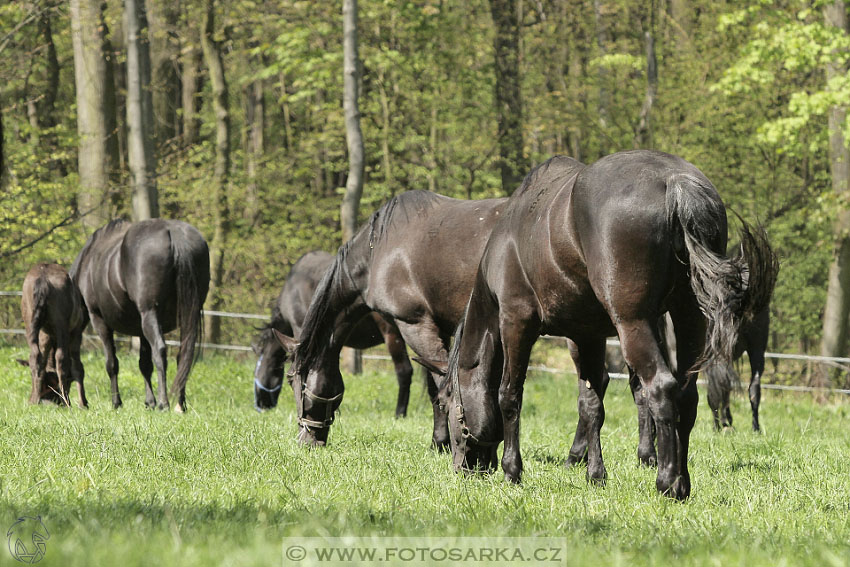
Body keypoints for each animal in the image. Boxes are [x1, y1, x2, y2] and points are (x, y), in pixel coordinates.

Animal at [70, 219, 209, 412]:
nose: (82, 403)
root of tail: (174, 232)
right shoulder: (141, 330)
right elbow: (144, 365)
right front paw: (149, 402)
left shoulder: (99, 320)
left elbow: (111, 364)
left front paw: (117, 402)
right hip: (186, 316)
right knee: (183, 355)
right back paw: (179, 405)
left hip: (149, 314)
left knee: (160, 351)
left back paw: (164, 403)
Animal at [250, 251, 412, 414]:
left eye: (256, 372)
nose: (260, 406)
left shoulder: (300, 332)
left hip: (393, 335)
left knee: (404, 371)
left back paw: (399, 413)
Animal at [282, 191, 506, 448]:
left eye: (295, 383)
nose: (305, 440)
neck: (377, 250)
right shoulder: (438, 328)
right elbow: (436, 384)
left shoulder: (415, 325)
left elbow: (439, 384)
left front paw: (440, 442)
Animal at [430, 152, 776, 502]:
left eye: (445, 403)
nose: (463, 468)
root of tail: (675, 182)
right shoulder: (588, 335)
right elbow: (592, 405)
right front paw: (595, 474)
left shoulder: (516, 323)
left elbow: (509, 396)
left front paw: (512, 471)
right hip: (689, 318)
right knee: (686, 396)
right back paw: (683, 482)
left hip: (634, 323)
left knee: (661, 388)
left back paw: (667, 482)